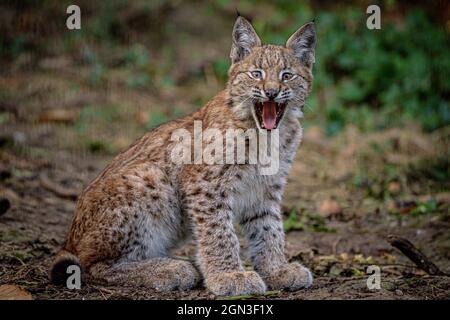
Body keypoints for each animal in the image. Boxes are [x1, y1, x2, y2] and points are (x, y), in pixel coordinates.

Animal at [50, 15, 316, 296]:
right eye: (257, 74)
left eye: (287, 76)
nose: (272, 92)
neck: (267, 134)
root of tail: (69, 237)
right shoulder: (204, 183)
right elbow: (219, 232)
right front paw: (229, 275)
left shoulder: (266, 188)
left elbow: (269, 229)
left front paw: (277, 270)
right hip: (151, 176)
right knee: (91, 265)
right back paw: (170, 269)